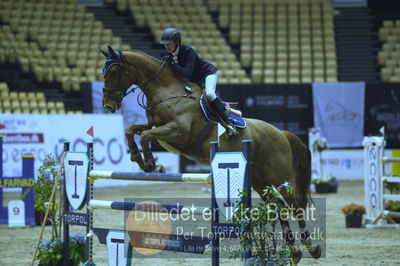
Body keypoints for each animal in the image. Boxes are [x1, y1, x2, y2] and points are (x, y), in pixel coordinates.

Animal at [97, 45, 322, 262]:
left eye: (114, 71)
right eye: (103, 71)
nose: (108, 105)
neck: (166, 91)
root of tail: (281, 132)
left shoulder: (179, 132)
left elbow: (145, 135)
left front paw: (152, 164)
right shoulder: (155, 125)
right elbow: (132, 130)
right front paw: (138, 158)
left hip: (278, 177)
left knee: (294, 206)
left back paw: (312, 248)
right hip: (259, 180)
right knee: (278, 206)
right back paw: (294, 251)